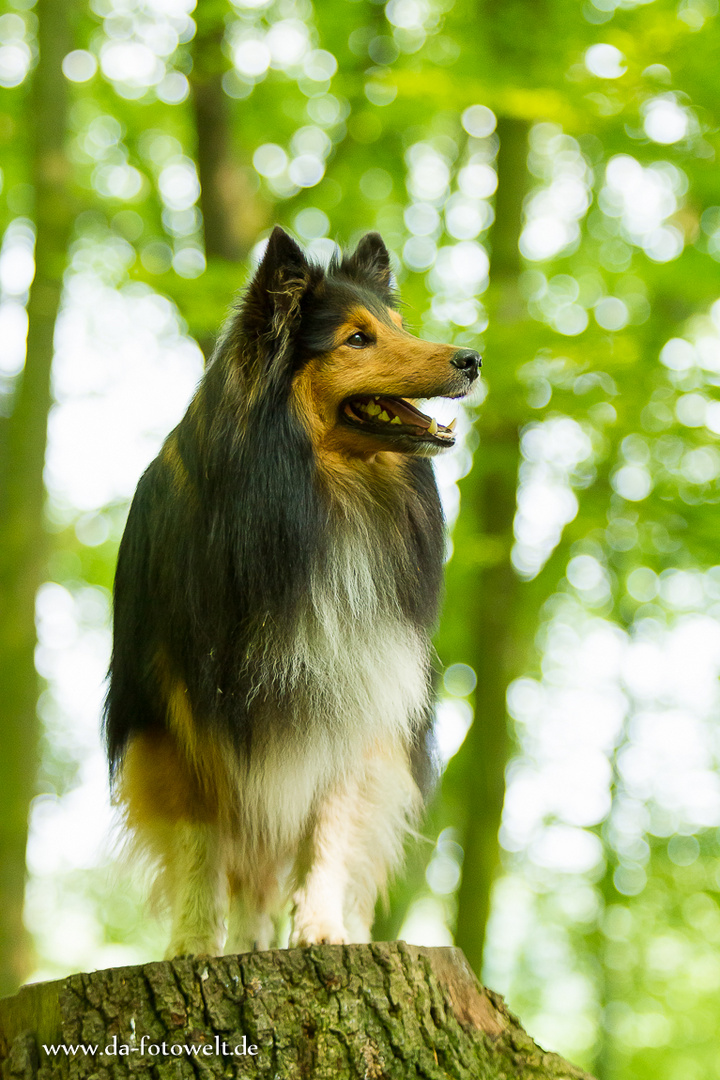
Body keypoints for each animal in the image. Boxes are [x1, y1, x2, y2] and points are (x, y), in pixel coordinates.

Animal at [105, 227, 479, 954]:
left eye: (400, 328)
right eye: (357, 338)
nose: (472, 359)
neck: (314, 498)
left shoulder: (353, 691)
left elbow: (331, 828)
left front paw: (322, 929)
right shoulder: (179, 710)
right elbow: (199, 839)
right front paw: (194, 943)